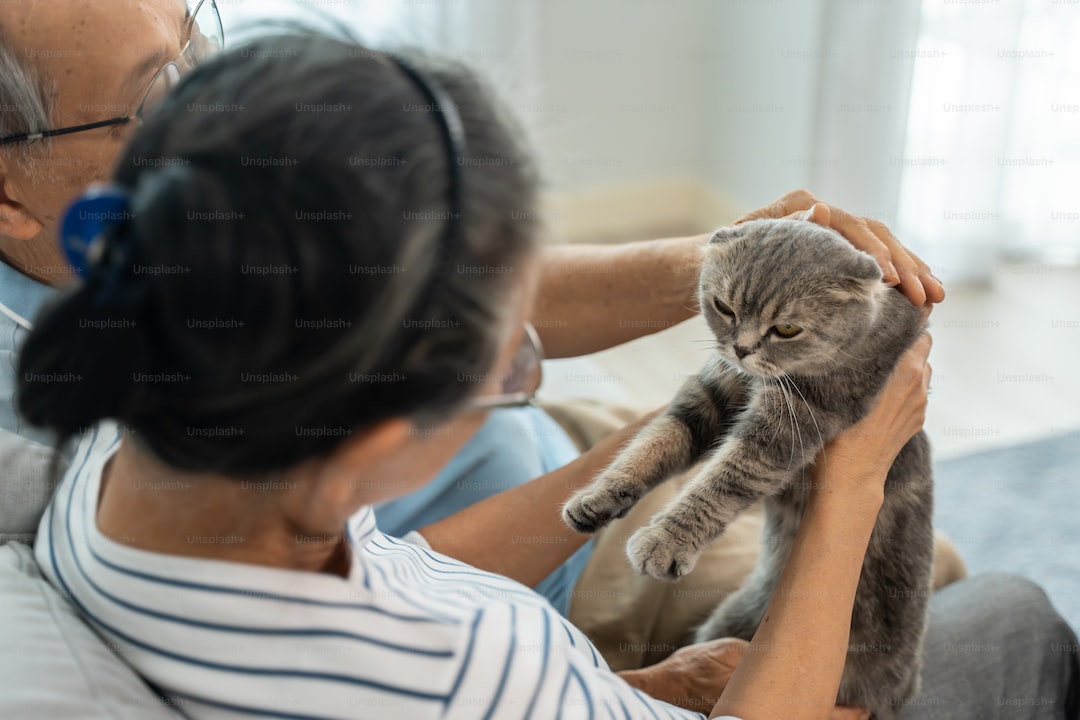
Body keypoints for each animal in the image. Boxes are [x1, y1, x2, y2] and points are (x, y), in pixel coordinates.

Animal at [565, 220, 937, 720]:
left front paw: (665, 541)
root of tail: (897, 695)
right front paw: (598, 497)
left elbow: (719, 483)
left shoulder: (787, 425)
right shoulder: (710, 393)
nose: (741, 349)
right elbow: (652, 444)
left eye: (787, 328)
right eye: (724, 307)